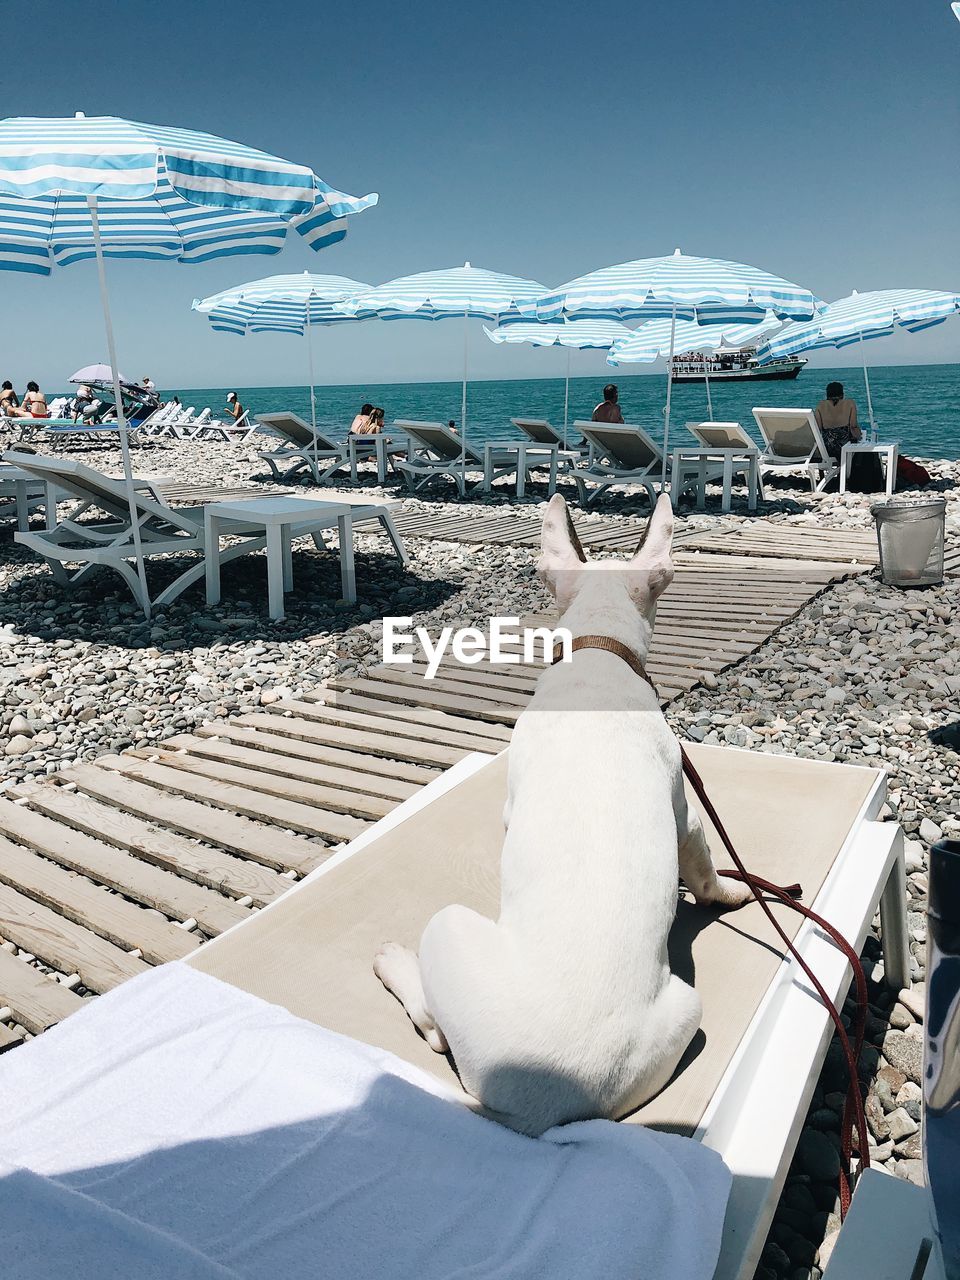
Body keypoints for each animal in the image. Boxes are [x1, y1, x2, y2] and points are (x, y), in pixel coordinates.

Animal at [376, 494, 752, 1136]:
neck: (599, 651)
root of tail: (540, 1108)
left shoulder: (679, 815)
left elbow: (704, 872)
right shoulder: (684, 810)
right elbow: (704, 867)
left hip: (452, 928)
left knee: (432, 1026)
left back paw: (398, 965)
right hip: (681, 1007)